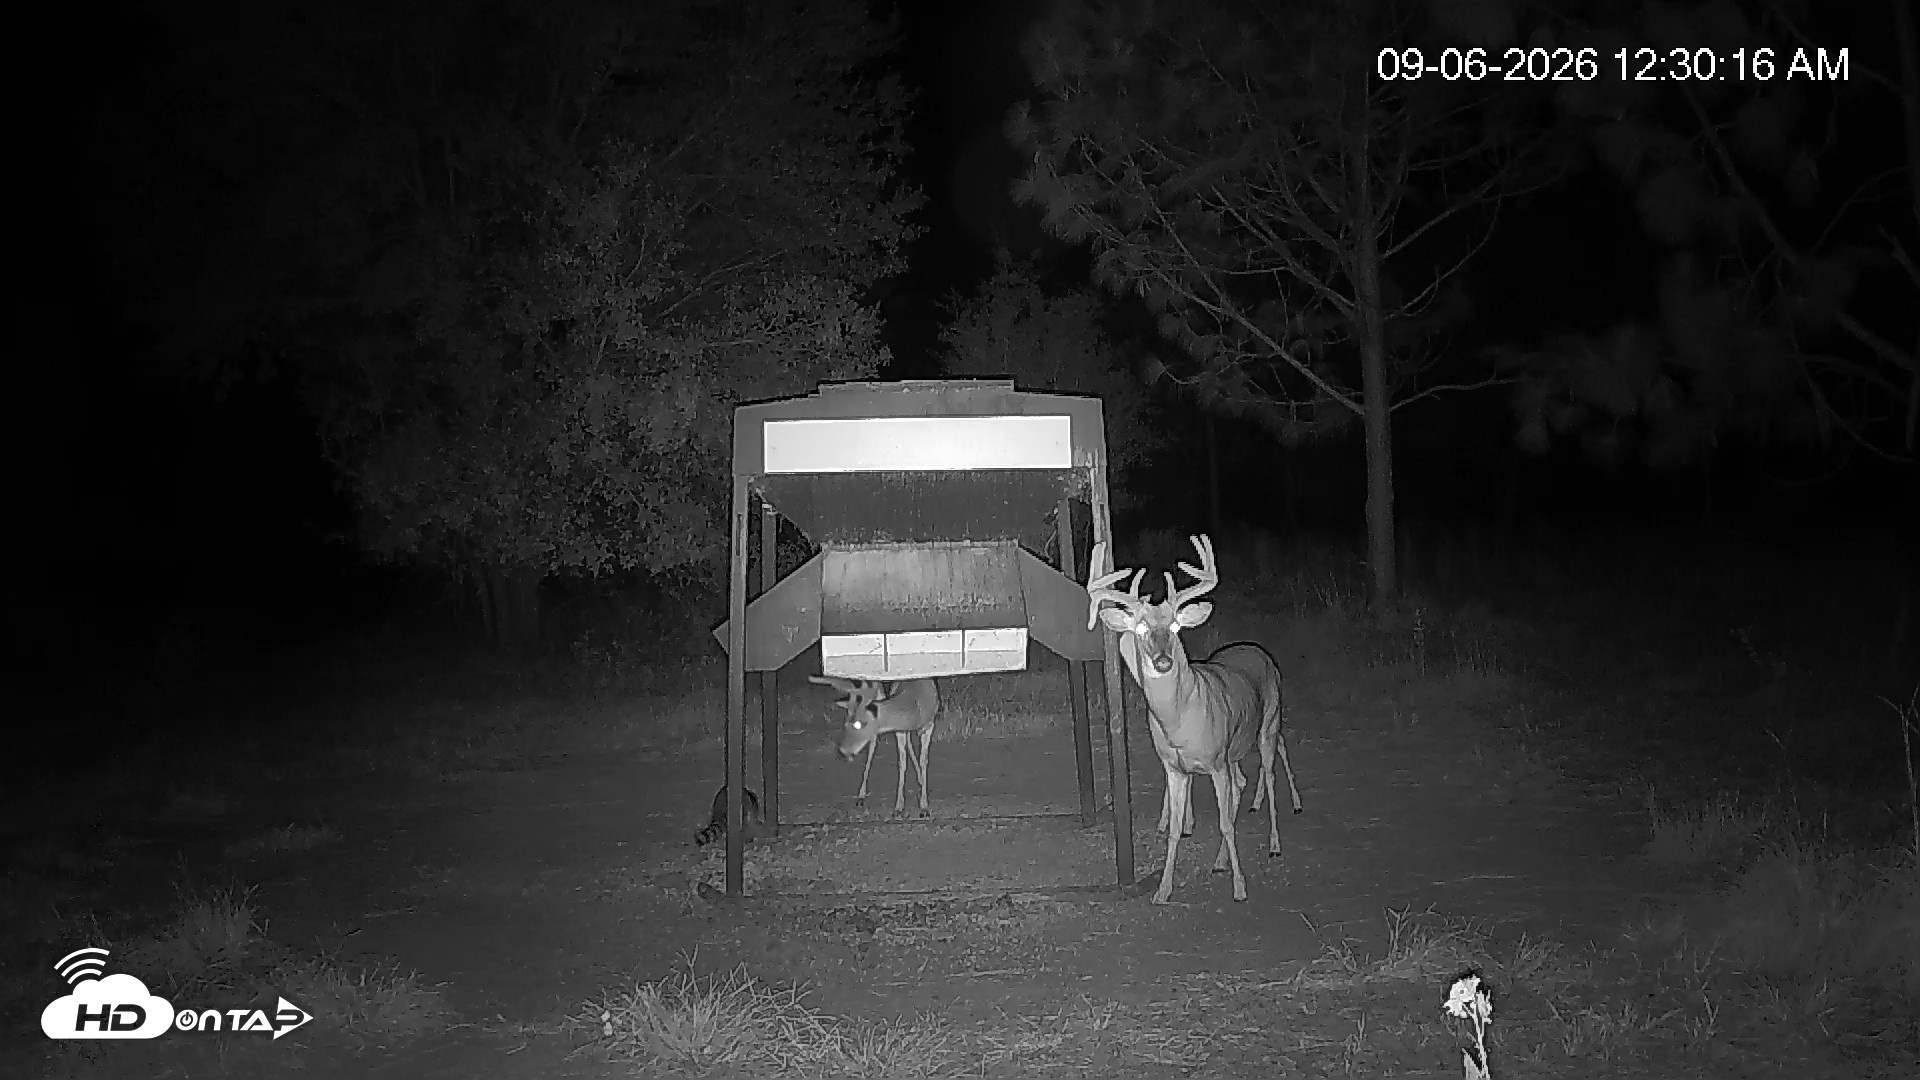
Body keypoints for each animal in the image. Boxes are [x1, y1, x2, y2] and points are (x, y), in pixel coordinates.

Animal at [808, 675, 941, 818]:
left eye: (859, 724)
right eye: (846, 721)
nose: (843, 749)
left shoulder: (930, 724)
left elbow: (924, 760)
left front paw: (924, 807)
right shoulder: (899, 730)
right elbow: (902, 763)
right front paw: (898, 807)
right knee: (874, 748)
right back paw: (861, 796)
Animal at [1086, 533, 1303, 904]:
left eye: (1175, 625)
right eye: (1140, 627)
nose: (1162, 661)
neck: (1179, 722)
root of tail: (1256, 649)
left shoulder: (1215, 761)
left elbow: (1225, 823)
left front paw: (1240, 888)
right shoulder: (1175, 767)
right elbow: (1175, 830)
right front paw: (1163, 890)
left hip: (1268, 724)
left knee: (1270, 774)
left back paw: (1274, 843)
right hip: (1234, 749)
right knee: (1242, 782)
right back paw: (1220, 861)